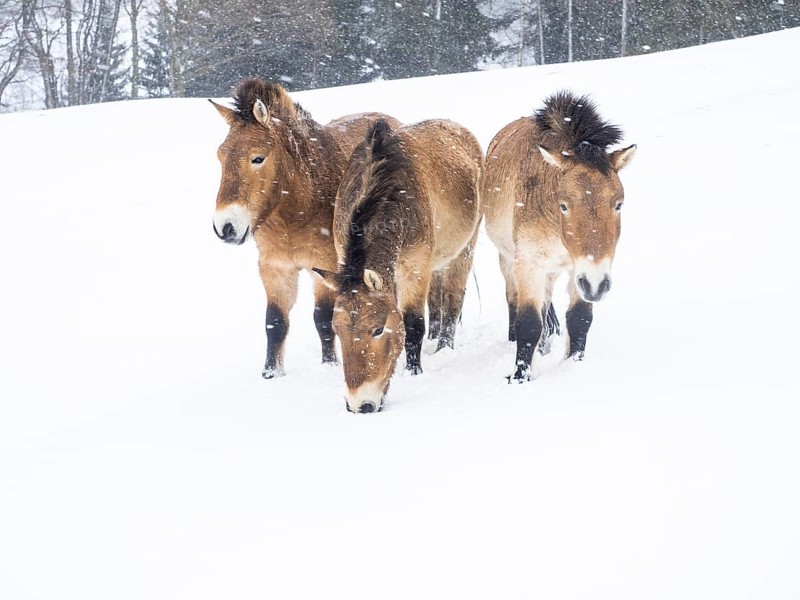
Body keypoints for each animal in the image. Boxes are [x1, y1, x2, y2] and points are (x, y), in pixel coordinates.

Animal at [210, 78, 400, 379]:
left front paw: (329, 364)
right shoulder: (275, 268)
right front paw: (271, 373)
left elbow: (322, 318)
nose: (225, 226)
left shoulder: (325, 267)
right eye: (220, 156)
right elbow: (275, 322)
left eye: (257, 158)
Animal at [314, 119, 483, 413]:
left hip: (464, 251)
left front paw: (414, 372)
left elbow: (413, 324)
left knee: (452, 301)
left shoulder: (415, 267)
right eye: (337, 331)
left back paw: (443, 346)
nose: (359, 405)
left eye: (378, 329)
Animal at [482, 91, 636, 382]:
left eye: (619, 205)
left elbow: (578, 319)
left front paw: (573, 363)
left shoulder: (581, 270)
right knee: (513, 300)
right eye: (564, 205)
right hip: (507, 260)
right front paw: (519, 377)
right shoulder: (529, 262)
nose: (598, 287)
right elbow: (528, 322)